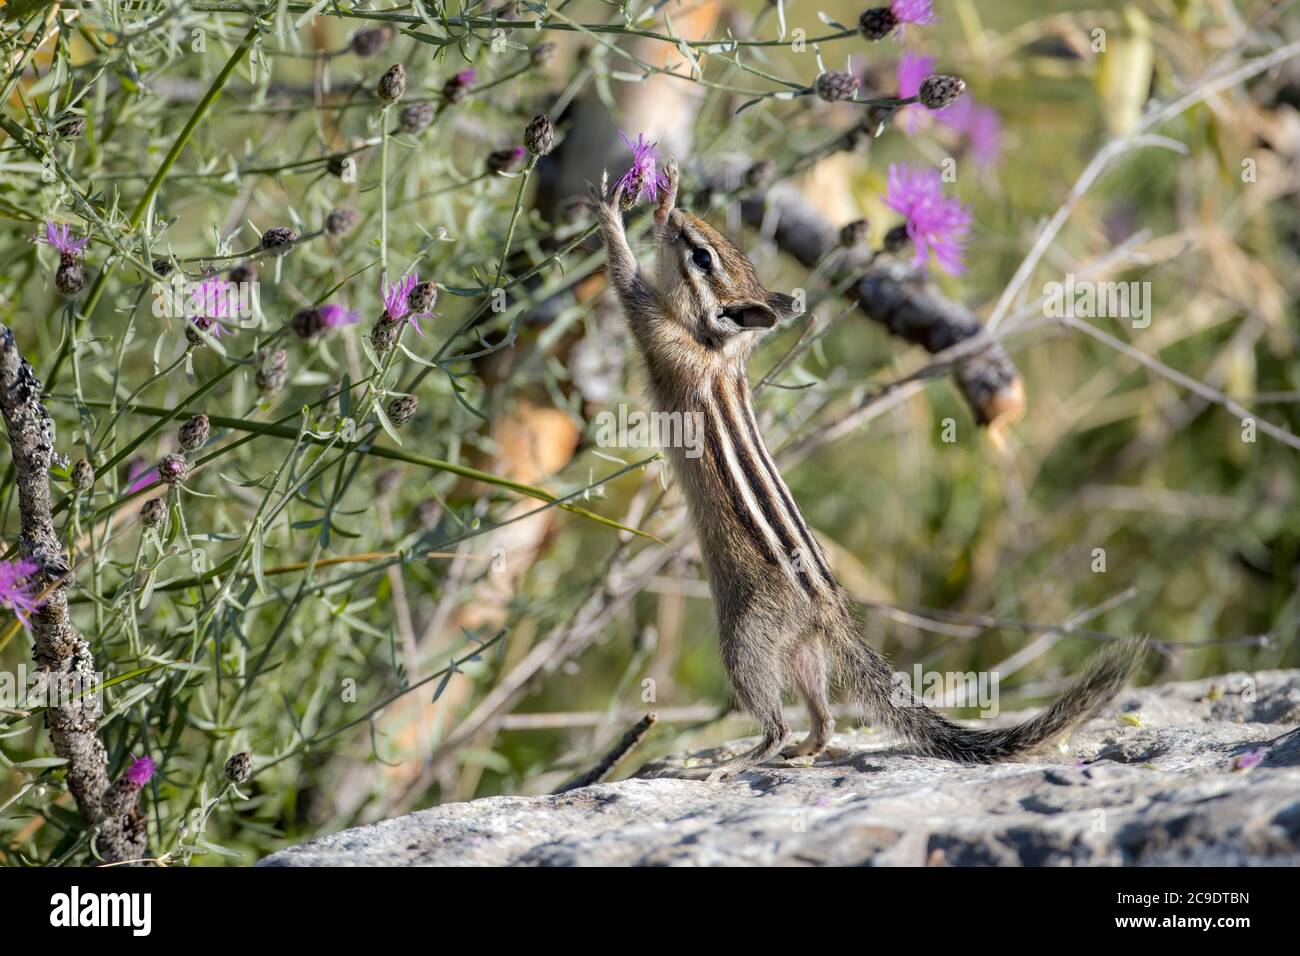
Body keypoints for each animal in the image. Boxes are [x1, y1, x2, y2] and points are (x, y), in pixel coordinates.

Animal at [587, 156, 1145, 780]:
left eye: (702, 257)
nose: (680, 216)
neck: (720, 348)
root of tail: (831, 610)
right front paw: (661, 195)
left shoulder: (659, 333)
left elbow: (627, 281)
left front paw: (620, 212)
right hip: (801, 650)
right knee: (824, 714)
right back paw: (809, 749)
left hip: (745, 641)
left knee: (774, 720)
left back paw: (739, 761)